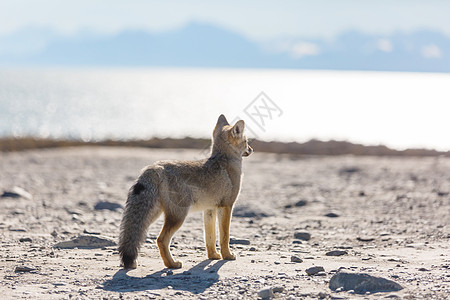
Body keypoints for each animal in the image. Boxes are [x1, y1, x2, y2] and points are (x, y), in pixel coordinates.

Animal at [118, 115, 253, 270]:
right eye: (246, 141)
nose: (252, 149)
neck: (225, 160)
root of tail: (156, 167)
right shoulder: (227, 206)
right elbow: (225, 236)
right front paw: (228, 255)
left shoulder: (209, 209)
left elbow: (210, 237)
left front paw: (213, 255)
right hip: (178, 216)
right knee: (161, 239)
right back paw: (172, 264)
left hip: (154, 215)